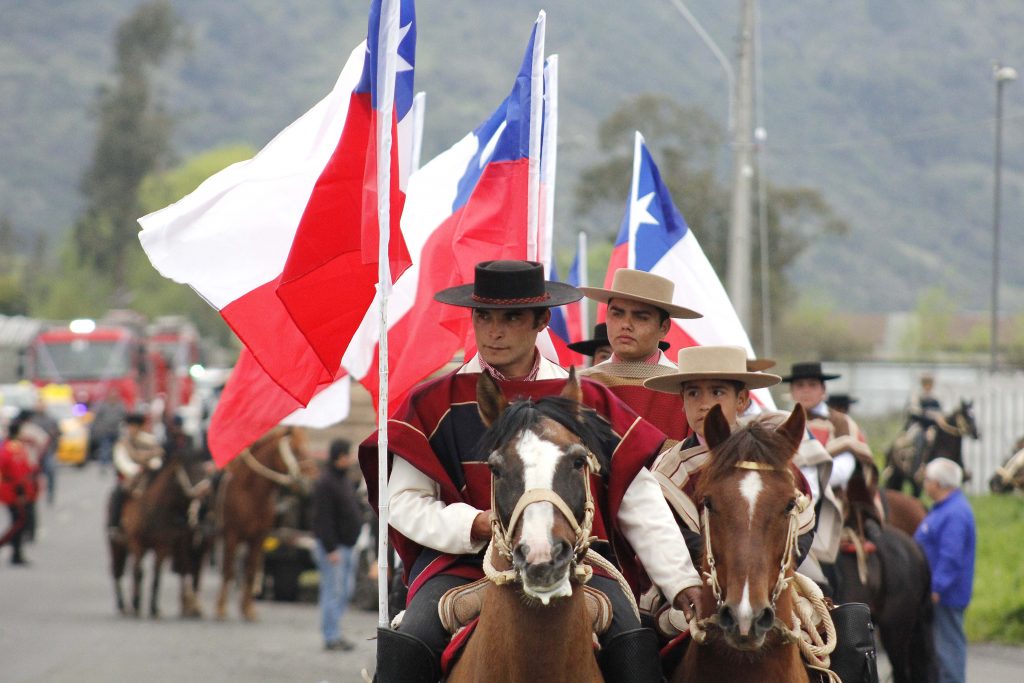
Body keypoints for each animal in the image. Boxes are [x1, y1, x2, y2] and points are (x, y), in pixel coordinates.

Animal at [215, 430, 307, 622]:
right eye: (295, 449)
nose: (308, 484)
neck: (251, 493)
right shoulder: (231, 534)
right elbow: (228, 570)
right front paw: (220, 609)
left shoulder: (258, 537)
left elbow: (250, 571)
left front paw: (248, 609)